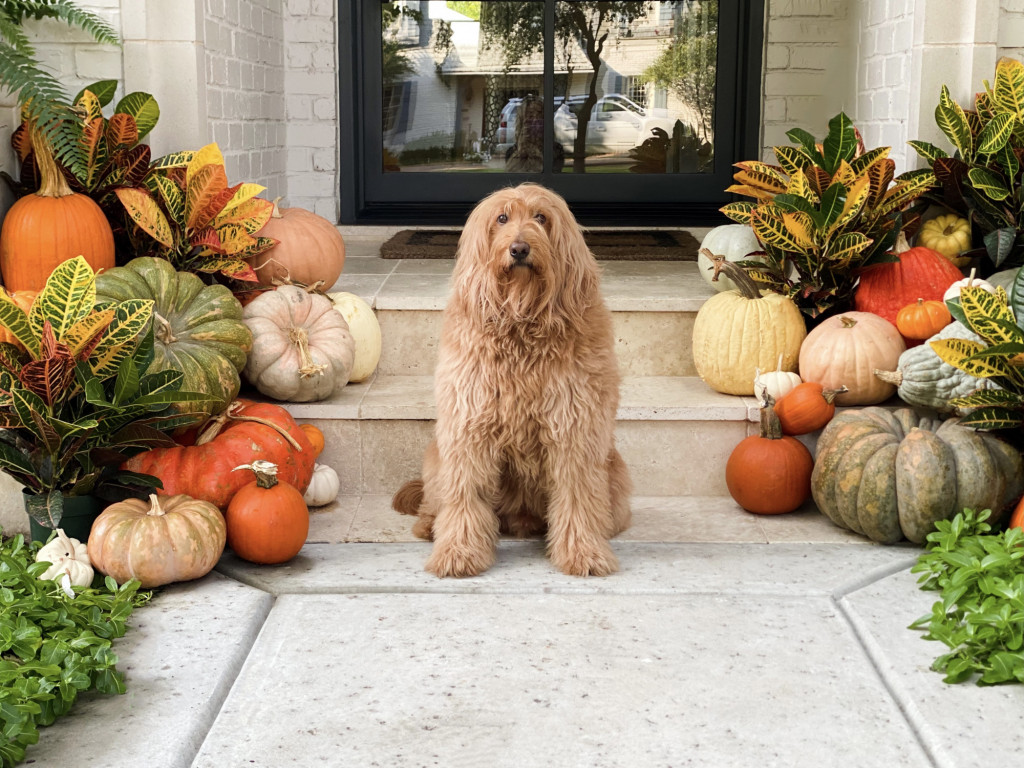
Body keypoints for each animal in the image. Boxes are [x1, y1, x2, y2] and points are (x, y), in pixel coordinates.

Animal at [393, 185, 626, 577]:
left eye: (541, 218)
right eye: (502, 218)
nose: (519, 248)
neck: (522, 326)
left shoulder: (574, 430)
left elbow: (577, 497)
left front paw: (584, 553)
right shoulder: (469, 429)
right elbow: (466, 496)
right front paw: (459, 552)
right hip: (438, 458)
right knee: (437, 502)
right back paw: (430, 525)